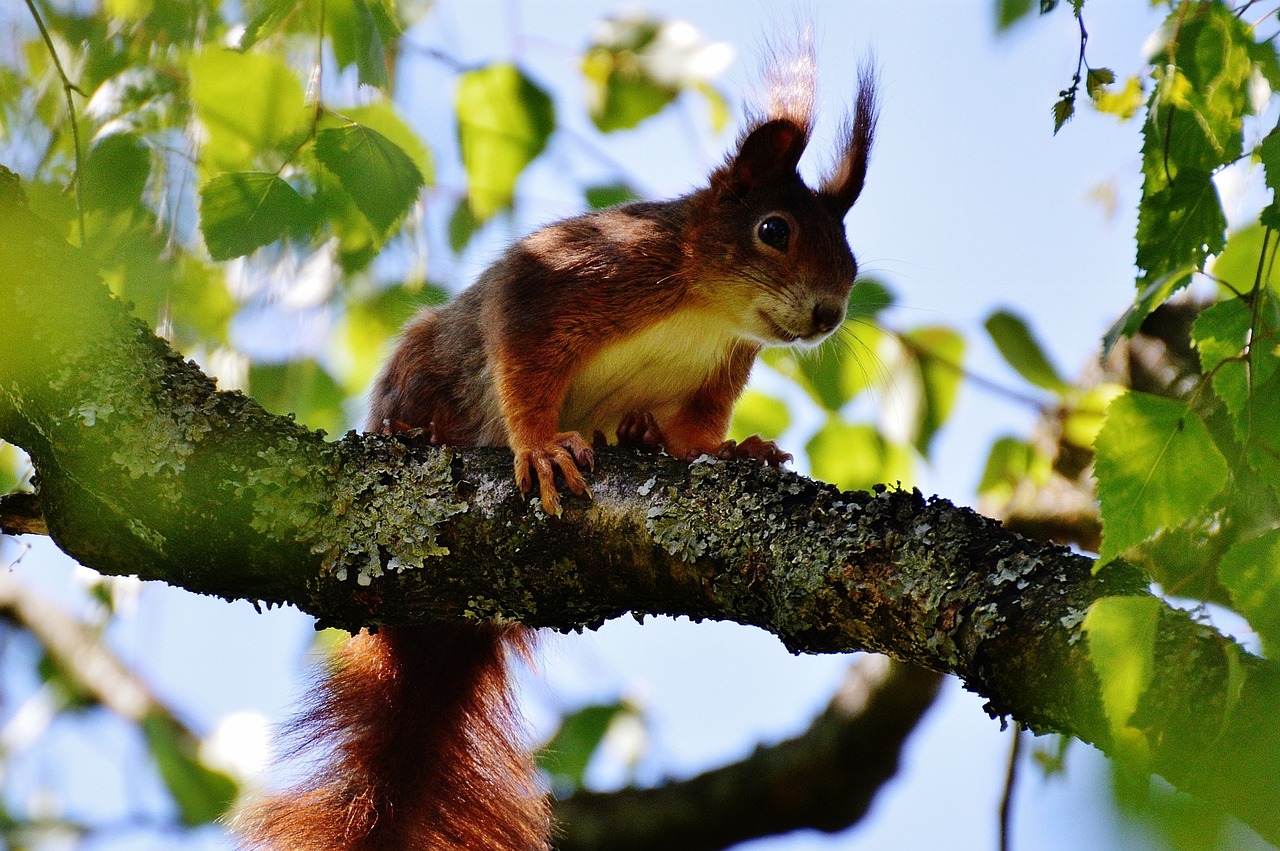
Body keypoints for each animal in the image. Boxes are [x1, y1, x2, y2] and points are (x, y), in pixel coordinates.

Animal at [235, 43, 875, 849]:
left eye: (851, 253)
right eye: (774, 230)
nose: (829, 313)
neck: (705, 305)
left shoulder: (720, 367)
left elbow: (697, 431)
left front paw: (731, 451)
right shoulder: (569, 277)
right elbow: (523, 356)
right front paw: (540, 447)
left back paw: (637, 433)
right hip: (425, 359)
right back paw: (412, 431)